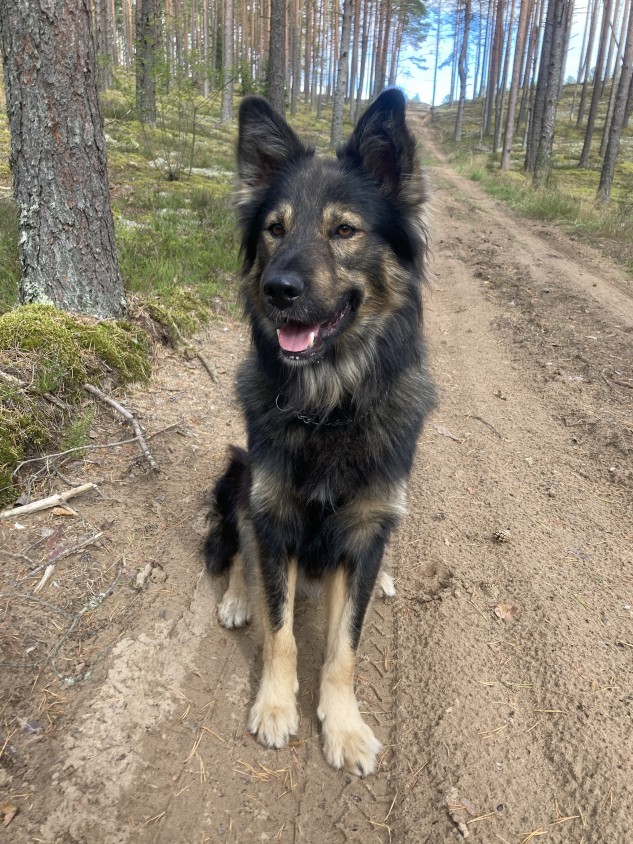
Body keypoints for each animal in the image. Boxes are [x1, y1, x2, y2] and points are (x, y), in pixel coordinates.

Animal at [204, 89, 435, 777]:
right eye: (275, 228)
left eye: (344, 230)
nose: (278, 289)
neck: (330, 405)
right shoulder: (274, 510)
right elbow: (280, 630)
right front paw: (277, 706)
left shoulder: (363, 527)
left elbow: (344, 646)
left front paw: (345, 726)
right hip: (240, 476)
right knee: (239, 548)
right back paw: (238, 597)